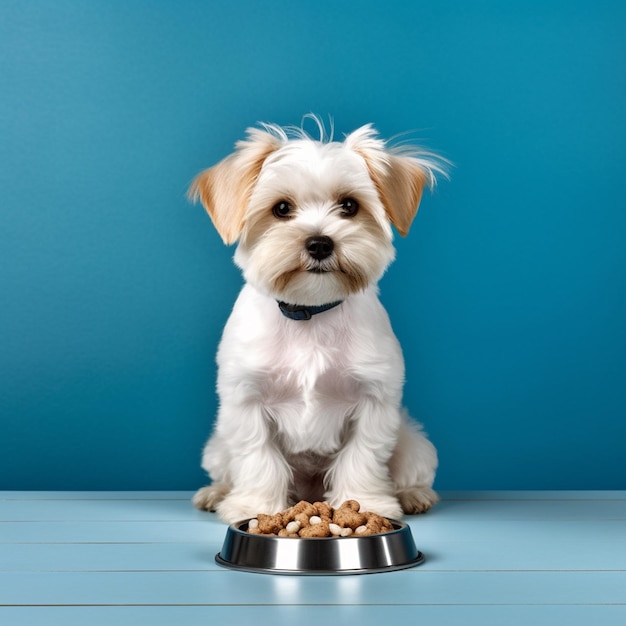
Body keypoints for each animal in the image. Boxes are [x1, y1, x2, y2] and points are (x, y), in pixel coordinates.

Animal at [189, 117, 444, 520]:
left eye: (349, 205)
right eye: (281, 208)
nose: (320, 243)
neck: (309, 314)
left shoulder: (374, 401)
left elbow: (362, 455)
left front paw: (367, 503)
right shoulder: (246, 400)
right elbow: (257, 455)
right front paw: (254, 505)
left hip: (413, 442)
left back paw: (414, 495)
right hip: (217, 447)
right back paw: (216, 493)